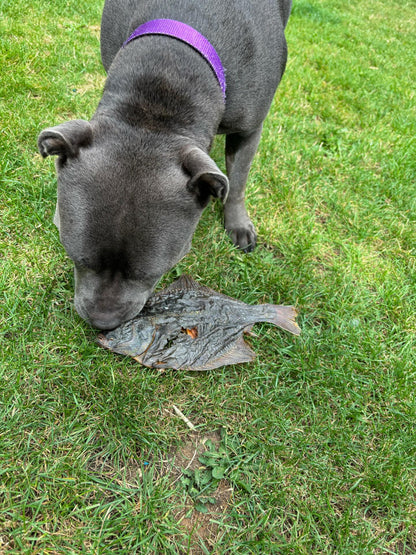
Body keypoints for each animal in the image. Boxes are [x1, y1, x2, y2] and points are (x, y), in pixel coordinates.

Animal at [39, 0, 292, 330]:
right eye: (78, 259)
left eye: (150, 274)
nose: (103, 321)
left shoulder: (249, 128)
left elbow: (238, 179)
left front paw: (237, 223)